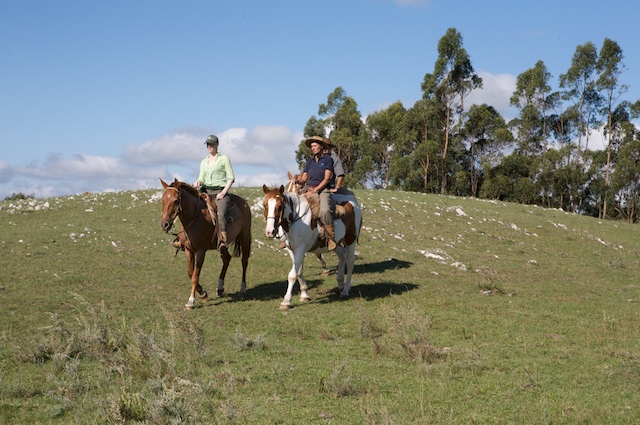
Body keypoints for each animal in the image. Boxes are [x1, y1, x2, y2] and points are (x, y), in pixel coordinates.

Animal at [159, 177, 251, 310]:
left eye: (176, 200)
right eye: (163, 200)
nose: (164, 224)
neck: (195, 218)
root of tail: (244, 203)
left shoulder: (200, 252)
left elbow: (195, 276)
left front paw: (191, 301)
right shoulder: (188, 250)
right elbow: (190, 273)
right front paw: (202, 293)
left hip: (245, 237)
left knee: (244, 261)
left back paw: (242, 288)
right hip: (222, 246)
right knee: (227, 259)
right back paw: (220, 287)